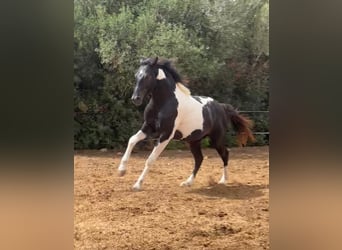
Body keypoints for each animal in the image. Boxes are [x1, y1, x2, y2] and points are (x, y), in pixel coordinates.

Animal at [117, 56, 254, 190]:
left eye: (148, 76)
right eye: (136, 75)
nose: (135, 99)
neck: (164, 103)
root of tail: (221, 107)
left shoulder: (166, 135)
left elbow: (150, 159)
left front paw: (137, 184)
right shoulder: (148, 127)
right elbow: (132, 140)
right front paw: (121, 171)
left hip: (216, 139)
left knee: (225, 153)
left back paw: (223, 180)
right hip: (193, 141)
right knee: (199, 159)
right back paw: (187, 182)